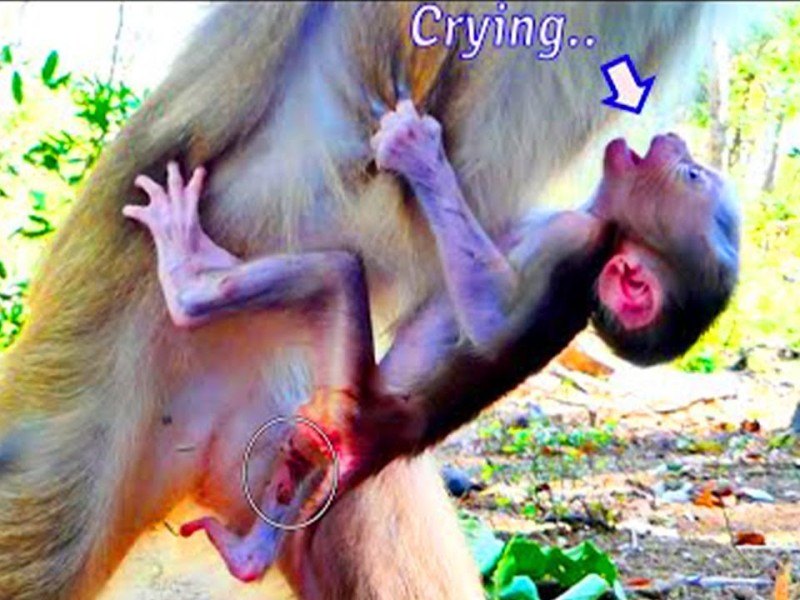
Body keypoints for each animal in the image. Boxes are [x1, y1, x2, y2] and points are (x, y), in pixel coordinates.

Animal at [123, 99, 739, 583]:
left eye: (690, 177)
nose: (672, 140)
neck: (602, 234)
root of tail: (387, 441)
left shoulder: (570, 240)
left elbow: (490, 322)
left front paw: (420, 154)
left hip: (349, 398)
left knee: (336, 272)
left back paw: (188, 277)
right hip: (334, 431)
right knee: (311, 470)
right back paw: (250, 555)